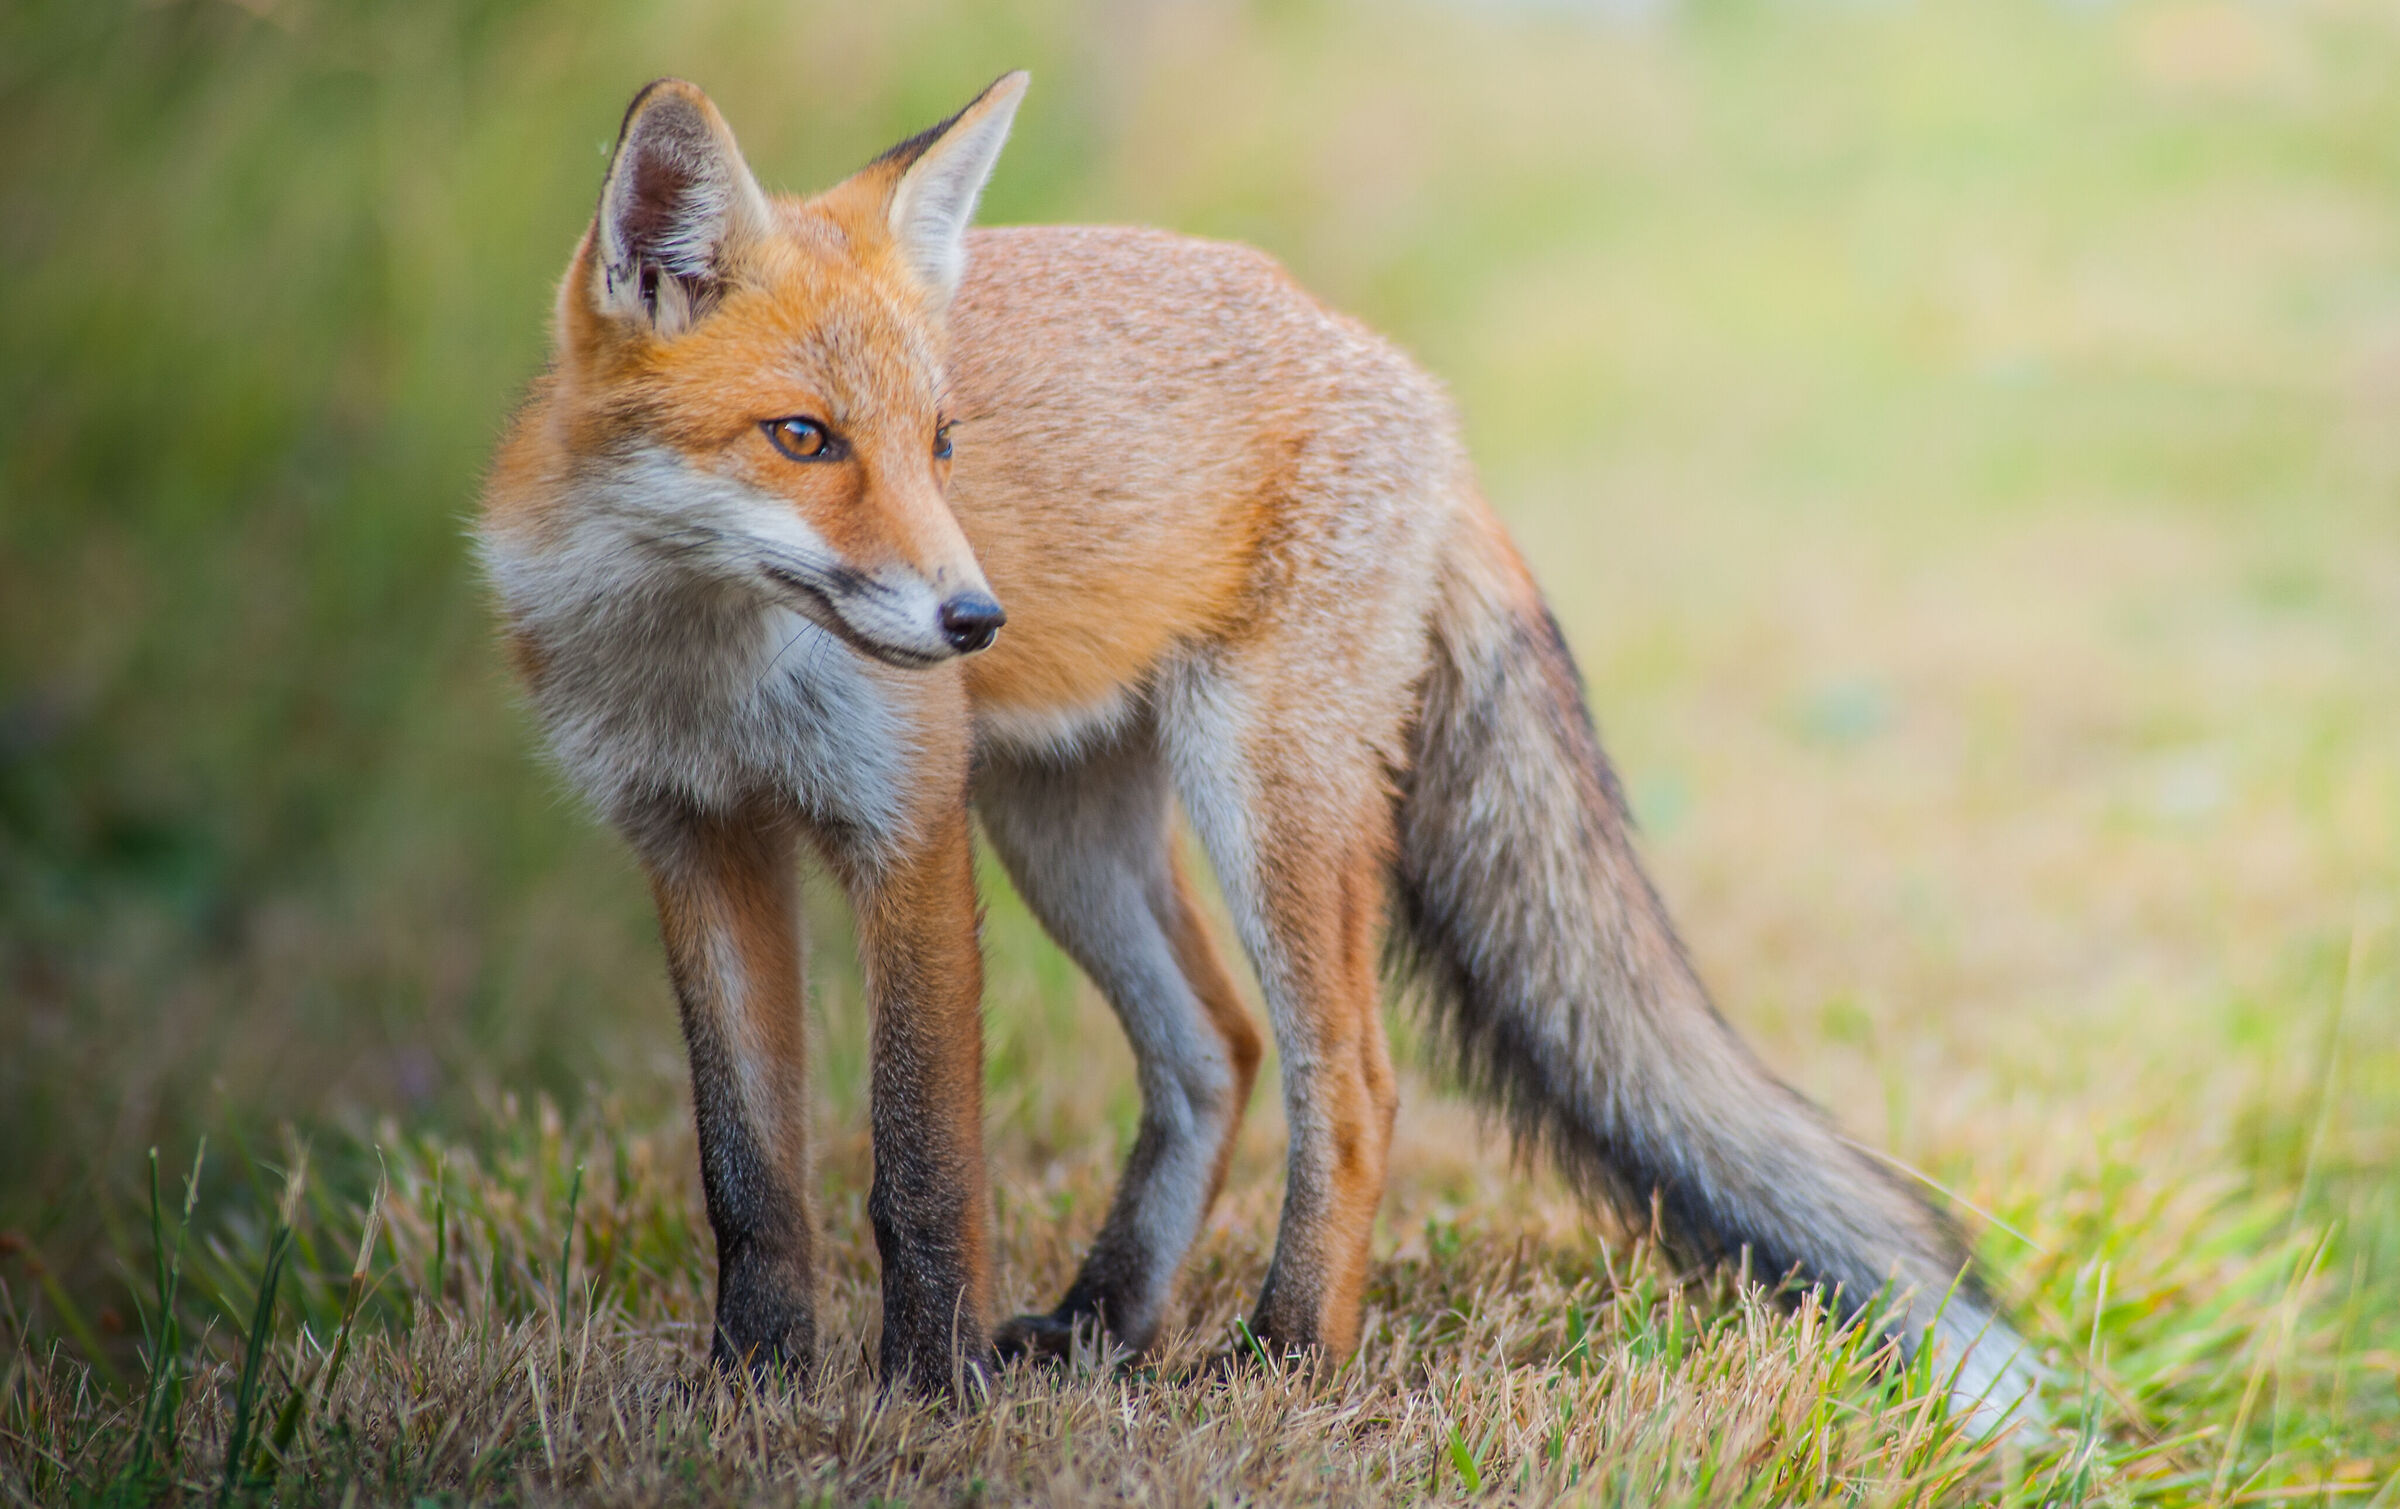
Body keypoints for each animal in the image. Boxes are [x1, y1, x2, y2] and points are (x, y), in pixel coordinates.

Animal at [477, 71, 2044, 1422]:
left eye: (941, 442)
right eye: (803, 438)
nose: (974, 616)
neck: (704, 663)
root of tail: (1404, 380)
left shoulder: (902, 829)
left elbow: (919, 1161)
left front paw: (926, 1397)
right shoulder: (695, 841)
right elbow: (748, 1176)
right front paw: (754, 1383)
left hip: (1256, 798)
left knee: (1346, 1077)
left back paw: (1286, 1349)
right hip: (1062, 829)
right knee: (1214, 1049)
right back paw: (1104, 1320)